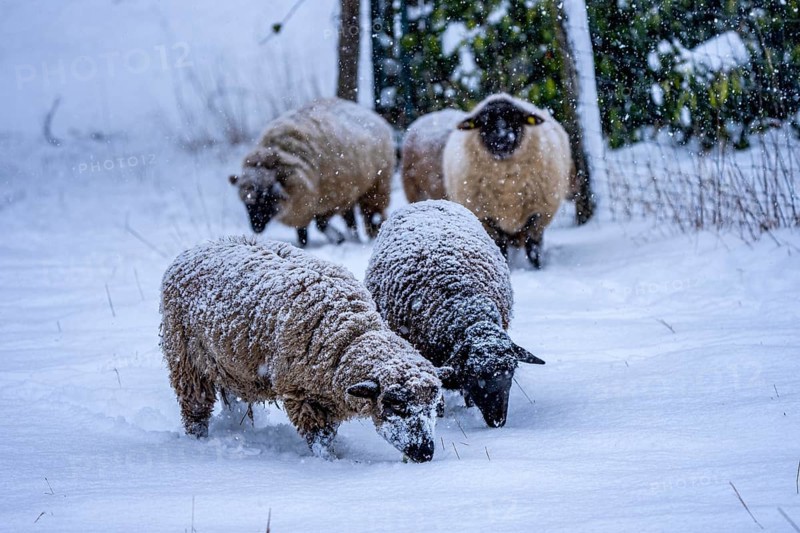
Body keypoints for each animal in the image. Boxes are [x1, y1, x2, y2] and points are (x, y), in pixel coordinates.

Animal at [160, 237, 442, 462]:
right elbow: (320, 440)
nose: (426, 453)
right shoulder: (302, 396)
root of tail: (194, 250)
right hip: (185, 360)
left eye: (433, 407)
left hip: (231, 367)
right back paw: (199, 442)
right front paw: (329, 462)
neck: (347, 333)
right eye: (396, 405)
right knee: (195, 409)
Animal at [228, 98, 395, 247]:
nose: (256, 228)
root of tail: (372, 115)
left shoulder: (329, 199)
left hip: (376, 184)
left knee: (372, 212)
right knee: (350, 217)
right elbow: (302, 231)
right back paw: (354, 236)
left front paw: (338, 239)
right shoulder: (302, 206)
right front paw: (304, 244)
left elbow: (320, 224)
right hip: (351, 191)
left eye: (267, 197)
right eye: (246, 203)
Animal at [443, 93, 573, 268]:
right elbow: (500, 246)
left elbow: (533, 247)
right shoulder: (487, 217)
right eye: (484, 122)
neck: (507, 183)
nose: (502, 139)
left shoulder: (537, 213)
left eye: (515, 119)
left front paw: (537, 268)